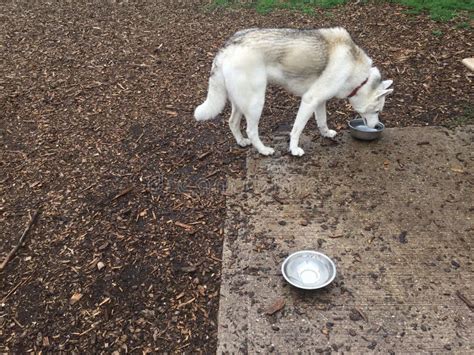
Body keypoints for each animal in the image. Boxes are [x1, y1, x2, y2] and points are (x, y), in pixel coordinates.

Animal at [193, 29, 392, 158]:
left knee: (232, 122)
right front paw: (294, 149)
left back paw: (241, 141)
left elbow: (322, 121)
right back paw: (263, 150)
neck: (359, 75)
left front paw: (326, 133)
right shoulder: (309, 100)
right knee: (251, 130)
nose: (376, 126)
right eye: (377, 111)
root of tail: (227, 46)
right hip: (255, 102)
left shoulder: (320, 101)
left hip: (241, 102)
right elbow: (296, 129)